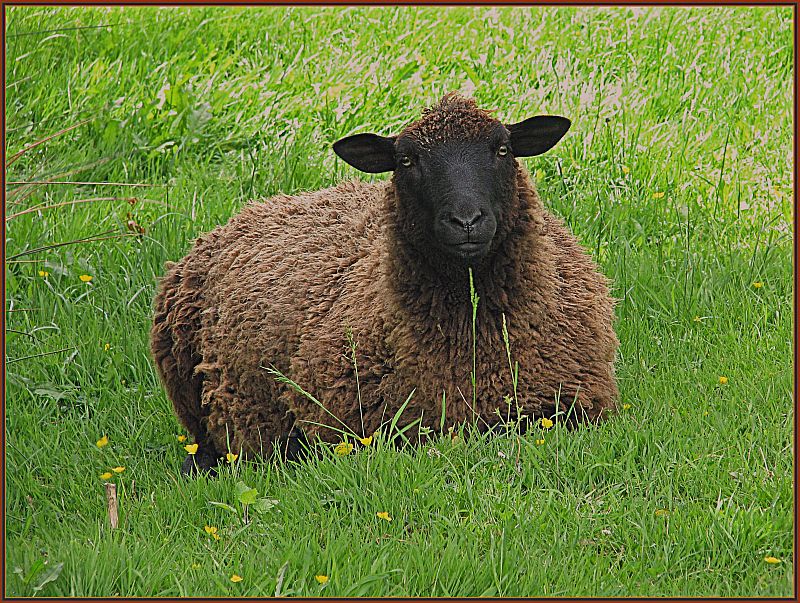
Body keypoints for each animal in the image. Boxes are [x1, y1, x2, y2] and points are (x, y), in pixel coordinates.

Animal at [153, 93, 620, 476]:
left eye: (503, 148)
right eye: (407, 161)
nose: (466, 220)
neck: (472, 346)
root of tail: (256, 206)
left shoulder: (575, 407)